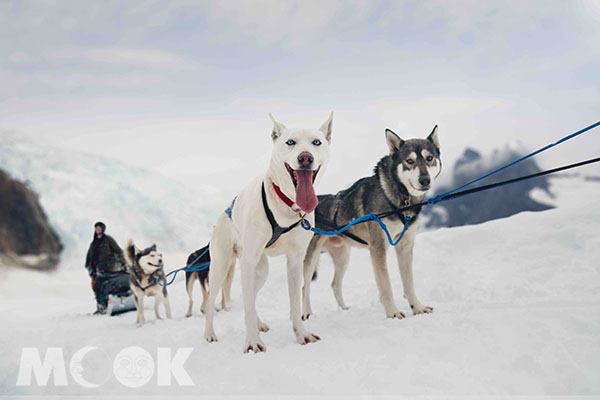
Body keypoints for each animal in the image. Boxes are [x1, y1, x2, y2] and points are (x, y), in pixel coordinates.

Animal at [203, 112, 332, 354]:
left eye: (316, 142)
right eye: (290, 142)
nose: (305, 158)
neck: (288, 205)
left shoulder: (295, 260)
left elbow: (295, 303)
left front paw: (301, 335)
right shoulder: (248, 261)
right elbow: (246, 305)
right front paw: (252, 342)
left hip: (260, 270)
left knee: (251, 297)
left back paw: (258, 323)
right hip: (222, 266)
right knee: (213, 301)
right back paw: (209, 334)